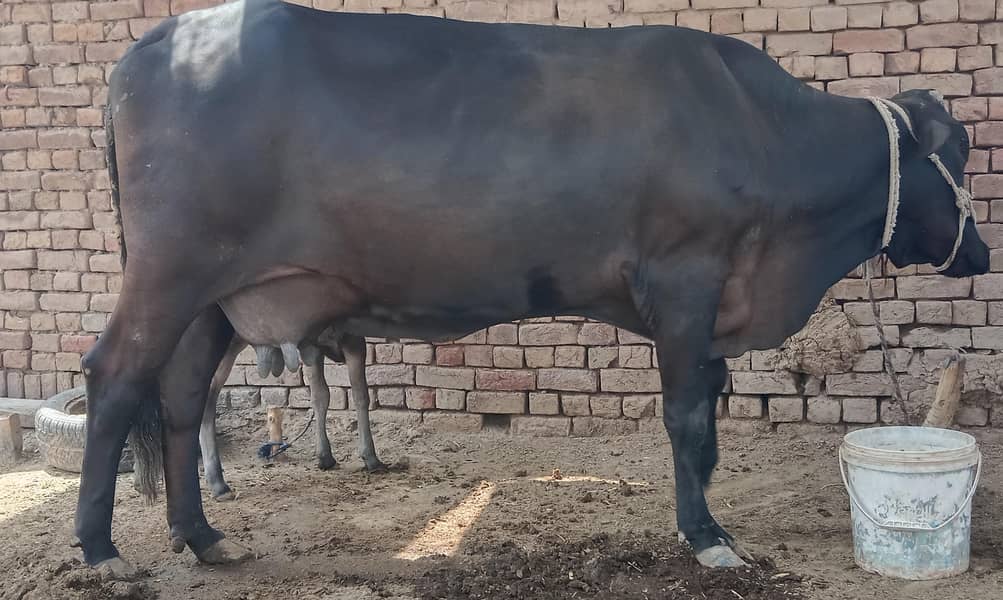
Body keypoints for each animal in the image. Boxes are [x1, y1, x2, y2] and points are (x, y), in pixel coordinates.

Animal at [75, 0, 988, 580]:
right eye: (962, 149)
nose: (979, 251)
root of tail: (153, 44)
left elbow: (708, 426)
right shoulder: (685, 281)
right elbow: (687, 421)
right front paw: (706, 538)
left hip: (217, 299)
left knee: (181, 399)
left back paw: (202, 535)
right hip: (170, 269)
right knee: (115, 379)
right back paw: (102, 550)